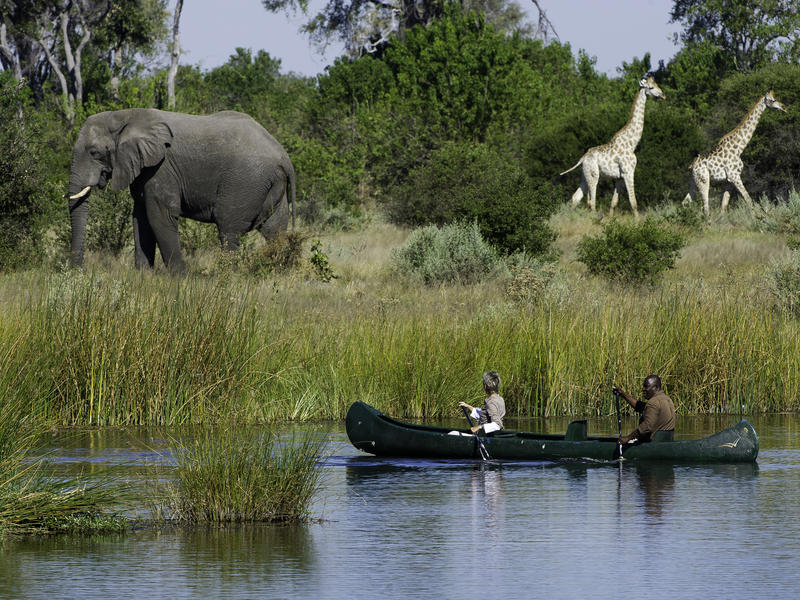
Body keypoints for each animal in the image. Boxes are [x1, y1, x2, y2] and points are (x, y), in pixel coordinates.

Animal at [66, 108, 295, 274]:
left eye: (94, 153)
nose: (80, 272)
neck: (124, 116)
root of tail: (284, 157)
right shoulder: (144, 169)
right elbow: (140, 218)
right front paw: (143, 276)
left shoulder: (161, 167)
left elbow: (160, 215)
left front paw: (180, 277)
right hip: (270, 186)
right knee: (274, 230)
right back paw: (278, 272)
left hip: (245, 182)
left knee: (228, 229)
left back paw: (225, 277)